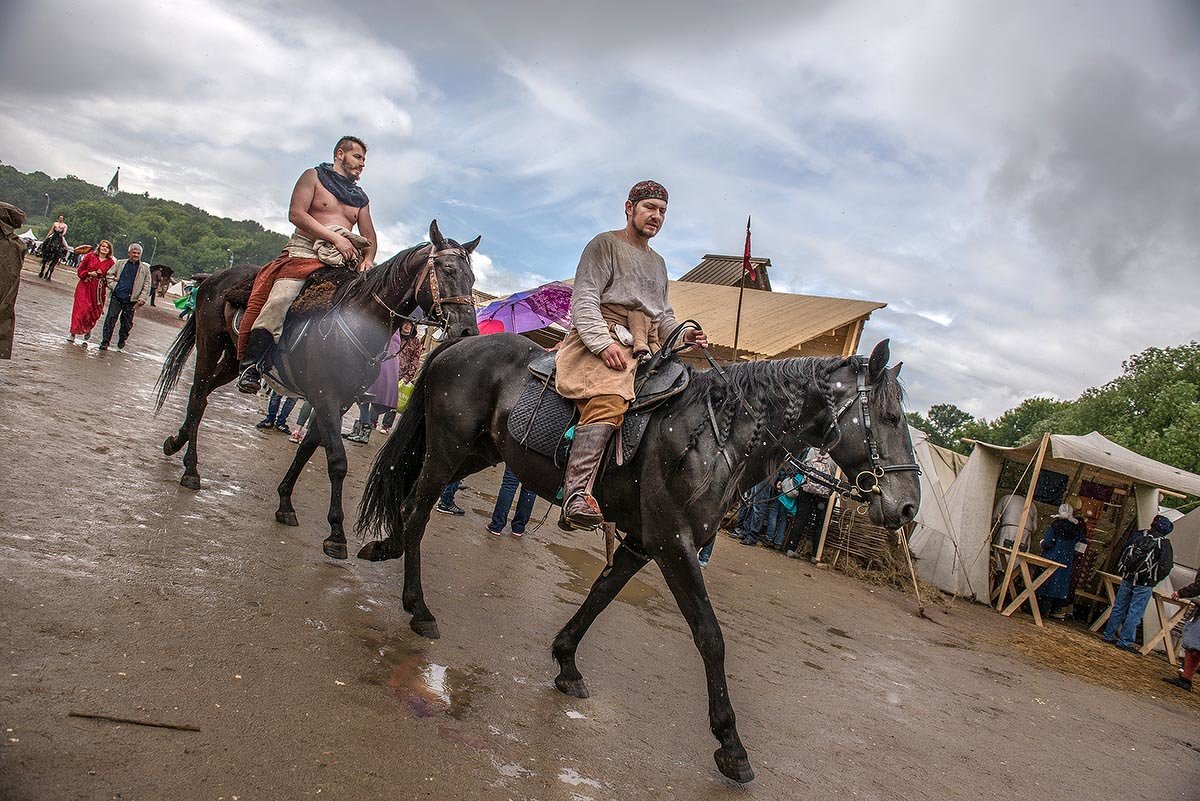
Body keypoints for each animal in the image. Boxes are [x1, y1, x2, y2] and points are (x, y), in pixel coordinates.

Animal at [152, 219, 480, 556]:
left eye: (472, 278)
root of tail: (215, 278)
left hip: (233, 357)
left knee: (203, 396)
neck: (359, 321)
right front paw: (336, 532)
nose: (468, 330)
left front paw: (285, 502)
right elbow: (337, 460)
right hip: (209, 343)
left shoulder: (339, 401)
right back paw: (191, 469)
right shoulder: (325, 398)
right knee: (197, 396)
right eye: (448, 270)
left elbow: (308, 448)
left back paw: (175, 442)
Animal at [352, 330, 916, 781]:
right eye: (889, 416)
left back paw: (384, 550)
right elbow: (710, 638)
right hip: (448, 448)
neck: (720, 434)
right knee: (417, 510)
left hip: (476, 452)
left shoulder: (644, 542)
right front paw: (730, 745)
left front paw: (566, 662)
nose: (908, 506)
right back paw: (418, 608)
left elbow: (601, 594)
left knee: (410, 503)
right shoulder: (673, 544)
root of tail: (461, 341)